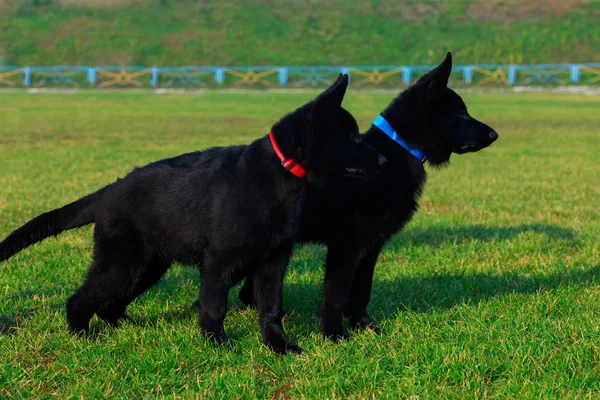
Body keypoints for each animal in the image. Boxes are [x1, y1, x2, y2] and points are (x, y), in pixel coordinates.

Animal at [237, 52, 500, 340]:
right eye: (462, 113)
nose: (494, 134)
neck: (398, 150)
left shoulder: (371, 246)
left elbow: (361, 291)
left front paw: (363, 325)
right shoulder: (346, 246)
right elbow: (336, 294)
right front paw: (333, 334)